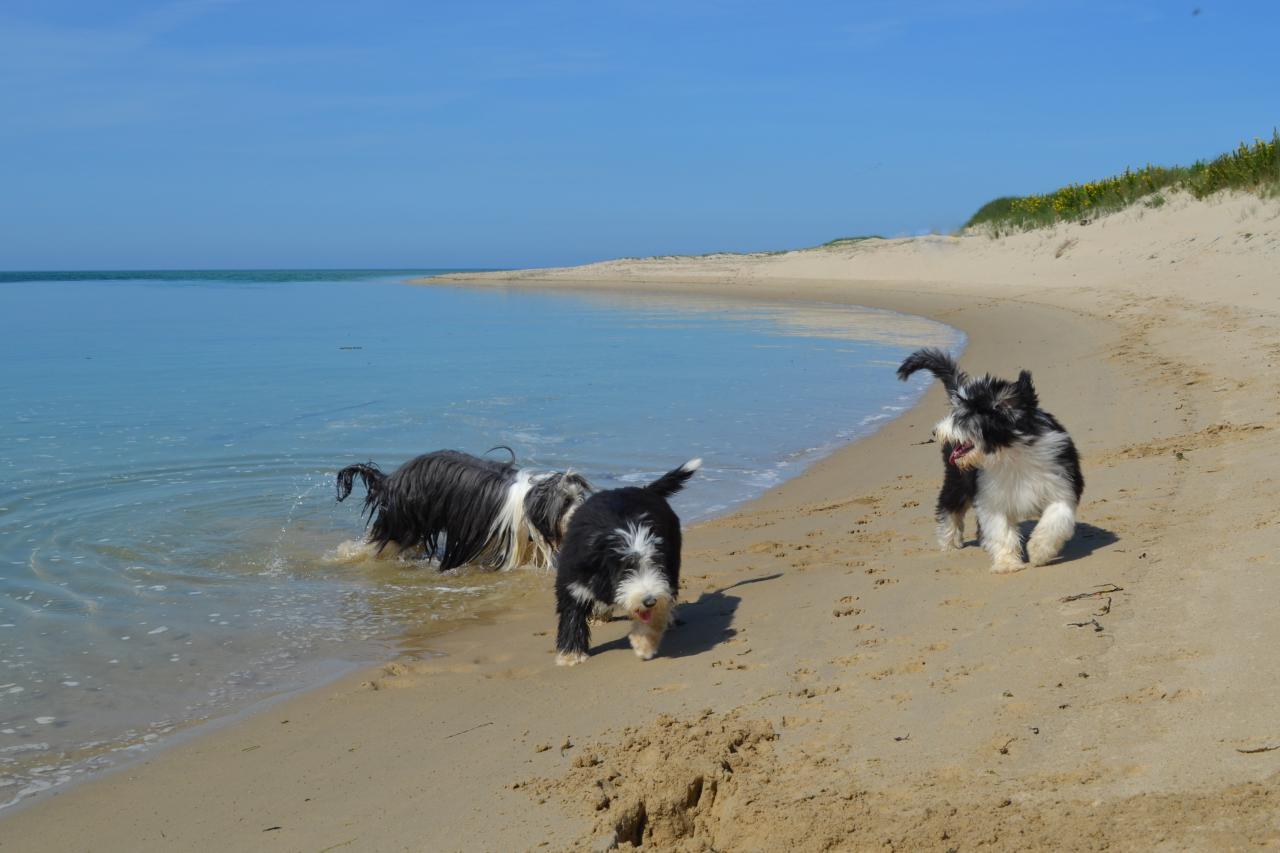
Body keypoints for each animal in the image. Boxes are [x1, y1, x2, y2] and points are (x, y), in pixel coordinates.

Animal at [330, 445, 588, 571]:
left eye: (580, 498)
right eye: (566, 502)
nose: (581, 513)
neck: (530, 500)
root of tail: (389, 481)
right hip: (403, 523)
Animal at [555, 458, 706, 666]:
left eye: (655, 565)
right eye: (626, 569)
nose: (649, 600)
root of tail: (645, 490)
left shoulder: (662, 579)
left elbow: (653, 614)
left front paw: (644, 644)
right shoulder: (573, 581)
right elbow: (571, 614)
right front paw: (571, 654)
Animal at [896, 345, 1085, 571]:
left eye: (963, 416)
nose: (935, 431)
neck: (1009, 452)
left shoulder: (1061, 482)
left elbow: (1056, 517)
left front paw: (1039, 550)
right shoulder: (991, 498)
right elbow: (1001, 530)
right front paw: (1007, 563)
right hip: (957, 480)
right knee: (948, 509)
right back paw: (949, 543)